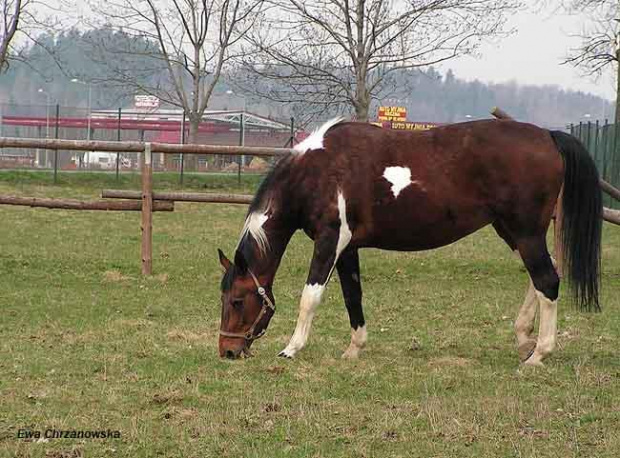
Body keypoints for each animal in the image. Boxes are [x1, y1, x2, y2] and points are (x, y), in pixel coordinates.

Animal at [217, 117, 600, 364]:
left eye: (236, 300)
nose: (228, 351)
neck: (318, 171)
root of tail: (548, 135)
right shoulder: (348, 249)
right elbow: (352, 296)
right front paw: (354, 349)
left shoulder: (329, 241)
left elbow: (310, 297)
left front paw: (291, 349)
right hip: (513, 232)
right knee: (543, 277)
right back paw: (524, 338)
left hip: (525, 232)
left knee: (547, 280)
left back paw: (538, 354)